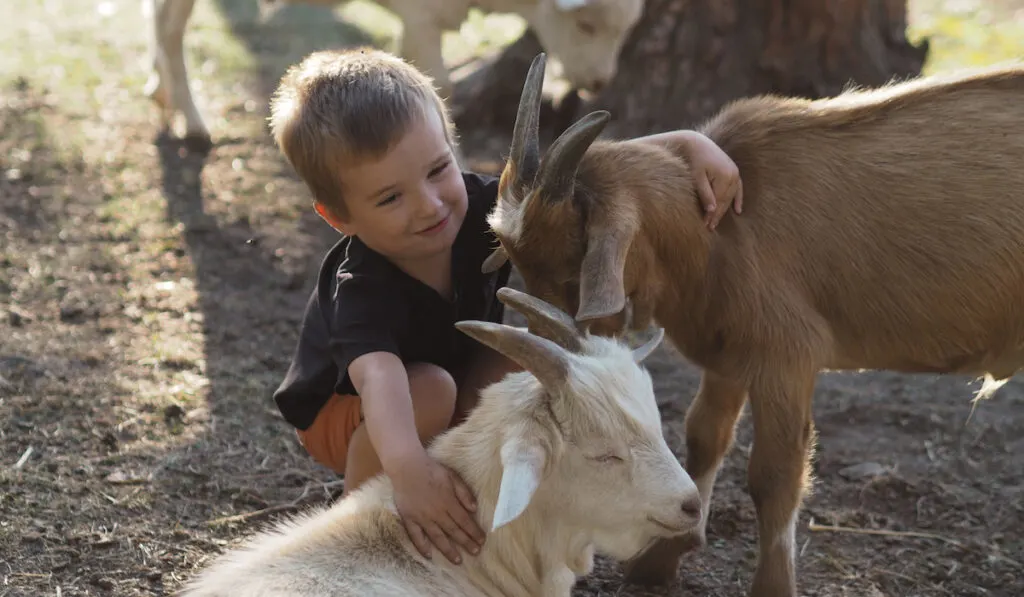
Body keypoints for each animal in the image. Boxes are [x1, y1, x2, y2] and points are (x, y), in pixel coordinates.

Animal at [144, 0, 643, 149]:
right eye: (585, 25)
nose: (599, 83)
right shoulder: (422, 17)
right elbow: (439, 88)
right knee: (170, 26)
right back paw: (191, 121)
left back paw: (161, 95)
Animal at [483, 52, 1024, 597]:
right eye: (521, 267)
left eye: (572, 269)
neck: (720, 233)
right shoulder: (728, 355)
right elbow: (704, 437)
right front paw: (660, 559)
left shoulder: (786, 357)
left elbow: (774, 474)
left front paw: (773, 584)